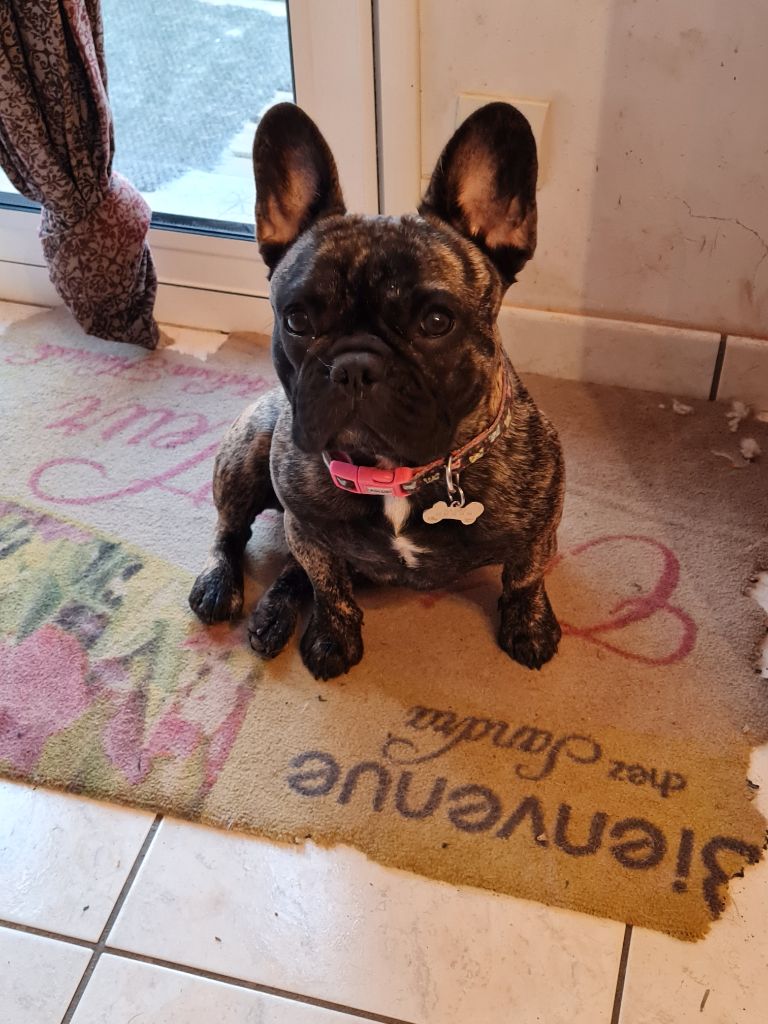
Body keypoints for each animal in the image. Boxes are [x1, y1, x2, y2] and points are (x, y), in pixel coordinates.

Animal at [189, 101, 564, 680]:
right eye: (297, 320)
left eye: (436, 322)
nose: (353, 367)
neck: (395, 474)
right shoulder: (308, 528)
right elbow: (329, 584)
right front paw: (332, 637)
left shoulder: (541, 525)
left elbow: (525, 576)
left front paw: (529, 628)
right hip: (245, 452)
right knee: (231, 531)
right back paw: (224, 588)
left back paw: (273, 613)